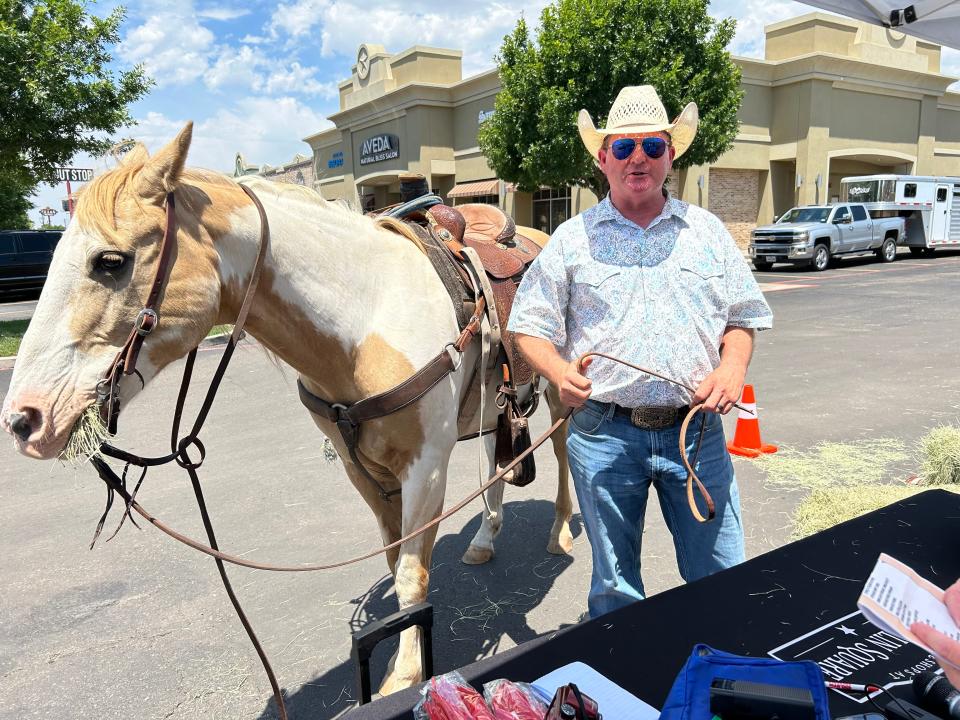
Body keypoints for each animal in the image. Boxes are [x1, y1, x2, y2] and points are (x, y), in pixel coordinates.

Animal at [0, 125, 568, 696]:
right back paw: (484, 537)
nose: (24, 419)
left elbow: (411, 573)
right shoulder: (363, 470)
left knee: (564, 453)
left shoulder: (424, 467)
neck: (368, 320)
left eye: (110, 261)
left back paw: (561, 531)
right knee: (496, 462)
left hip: (561, 394)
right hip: (492, 409)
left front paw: (404, 676)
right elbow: (394, 561)